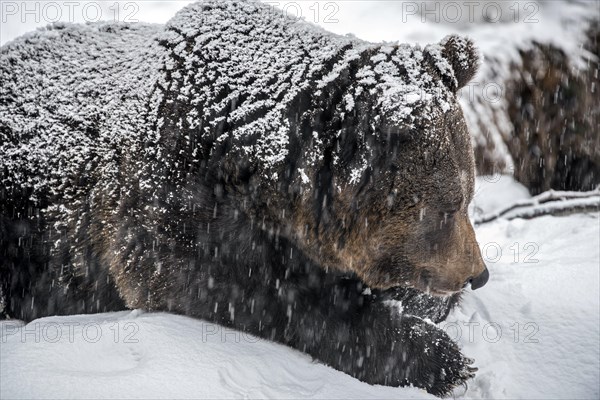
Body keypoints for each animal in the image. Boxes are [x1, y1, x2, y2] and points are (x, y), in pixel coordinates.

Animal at [0, 0, 488, 396]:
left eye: (468, 196)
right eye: (445, 208)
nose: (477, 274)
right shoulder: (171, 205)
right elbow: (258, 291)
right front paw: (441, 359)